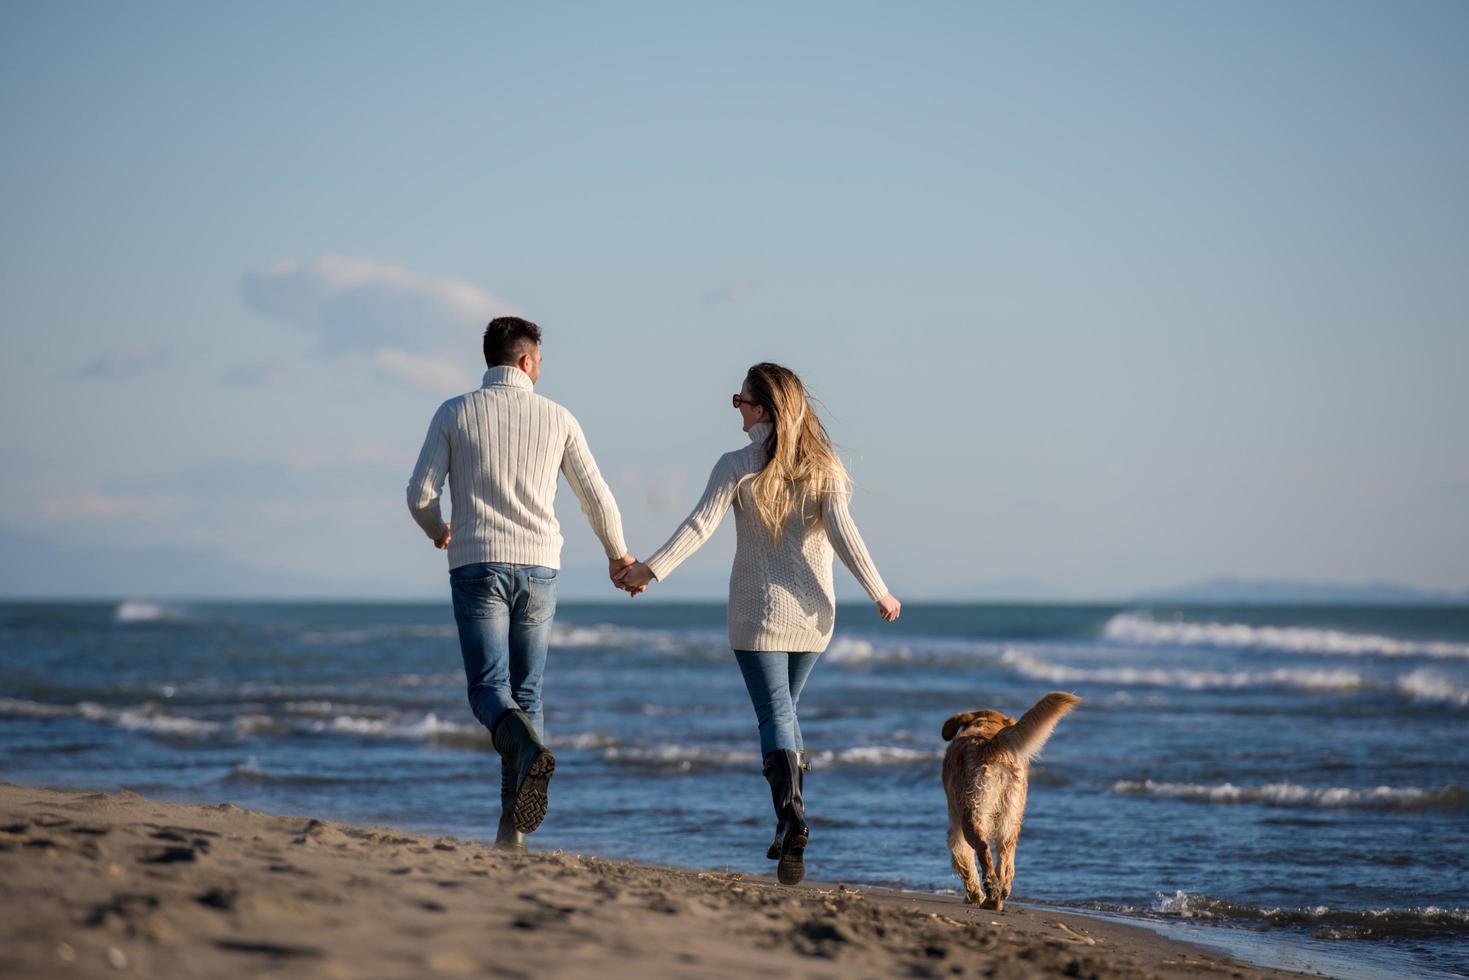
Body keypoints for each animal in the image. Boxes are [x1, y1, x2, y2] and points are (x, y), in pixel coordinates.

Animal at [940, 690, 1081, 910]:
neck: (985, 724)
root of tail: (991, 745)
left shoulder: (956, 828)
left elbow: (964, 862)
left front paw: (973, 895)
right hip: (1011, 817)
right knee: (1006, 856)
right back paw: (998, 894)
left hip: (971, 817)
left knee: (983, 850)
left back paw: (990, 894)